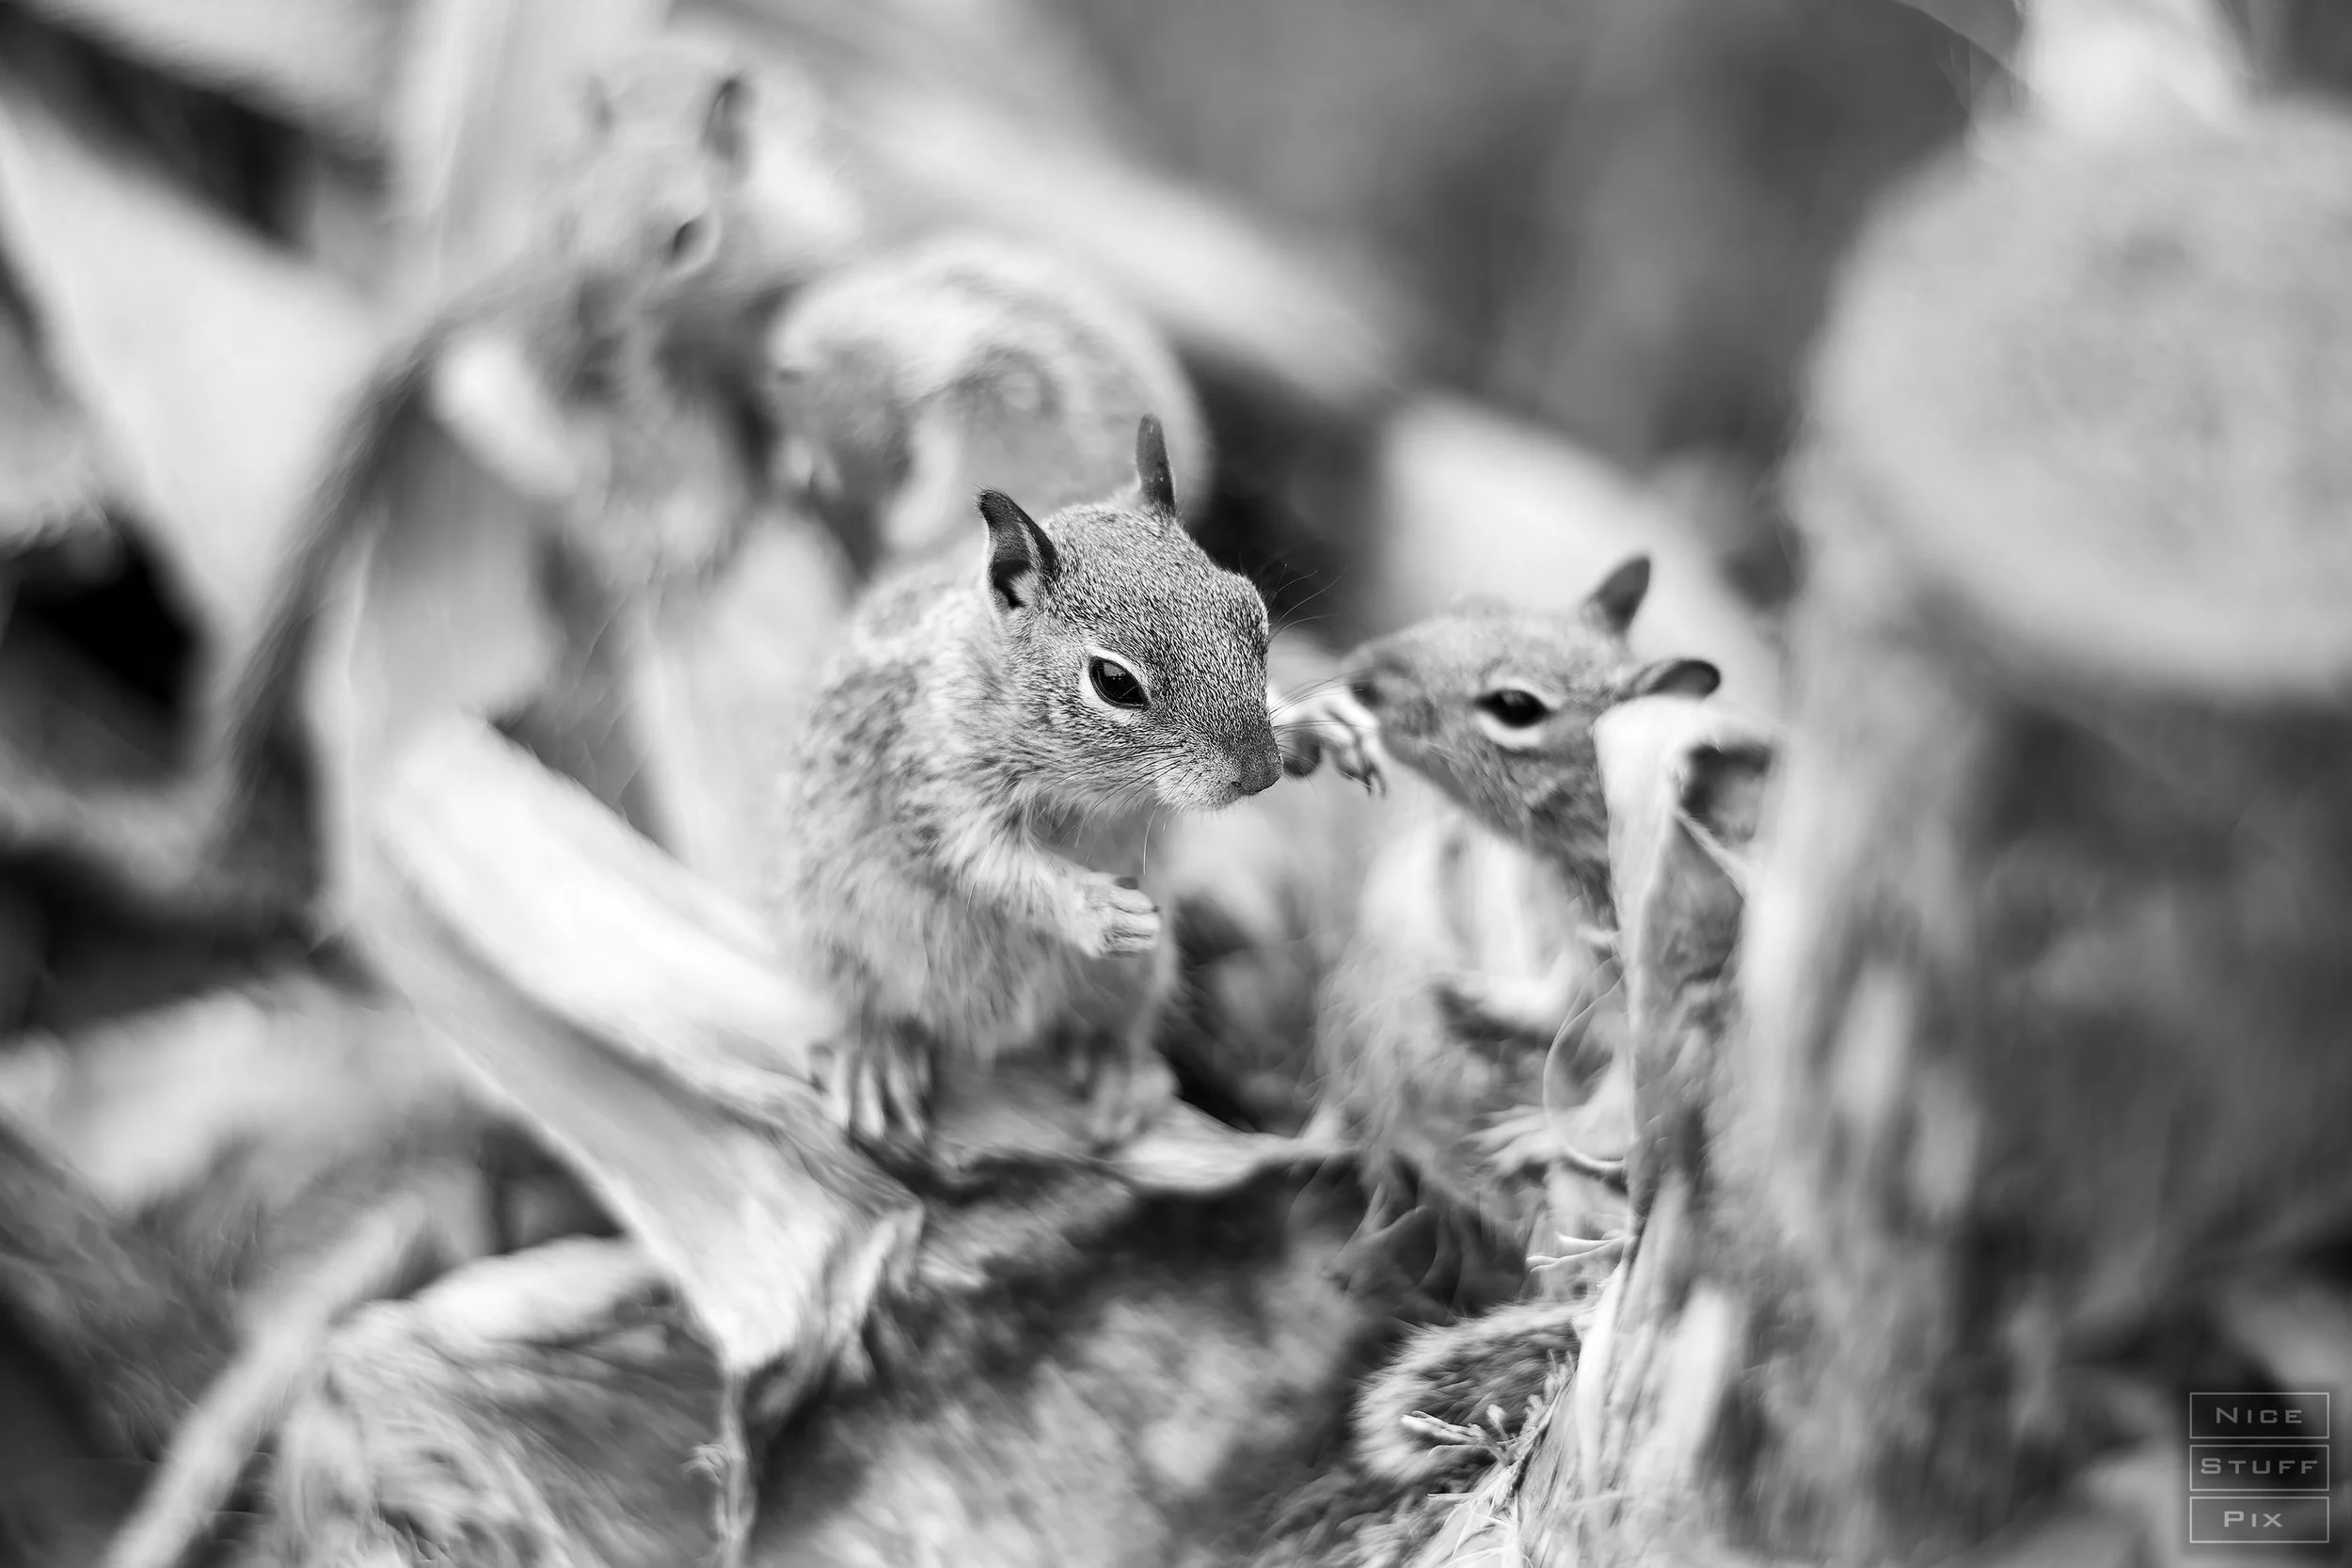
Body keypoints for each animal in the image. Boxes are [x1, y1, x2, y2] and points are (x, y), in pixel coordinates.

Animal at [761, 415, 1281, 1148]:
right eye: (1114, 681)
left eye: (1254, 613)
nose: (1263, 774)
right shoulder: (938, 785)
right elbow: (991, 865)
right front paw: (1098, 911)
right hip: (838, 940)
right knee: (870, 1007)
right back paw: (876, 1054)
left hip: (1137, 979)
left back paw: (1118, 1069)